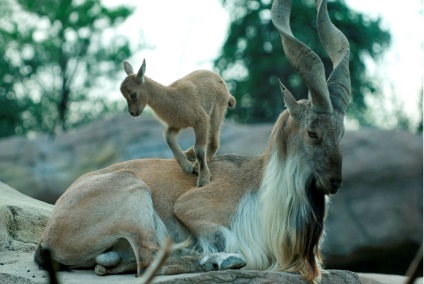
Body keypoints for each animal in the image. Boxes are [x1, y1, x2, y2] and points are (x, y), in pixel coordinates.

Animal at [34, 0, 352, 282]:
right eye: (312, 132)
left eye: (342, 132)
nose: (335, 182)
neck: (262, 187)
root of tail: (49, 233)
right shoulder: (192, 207)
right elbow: (221, 239)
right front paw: (219, 255)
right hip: (134, 194)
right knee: (148, 261)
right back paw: (217, 260)